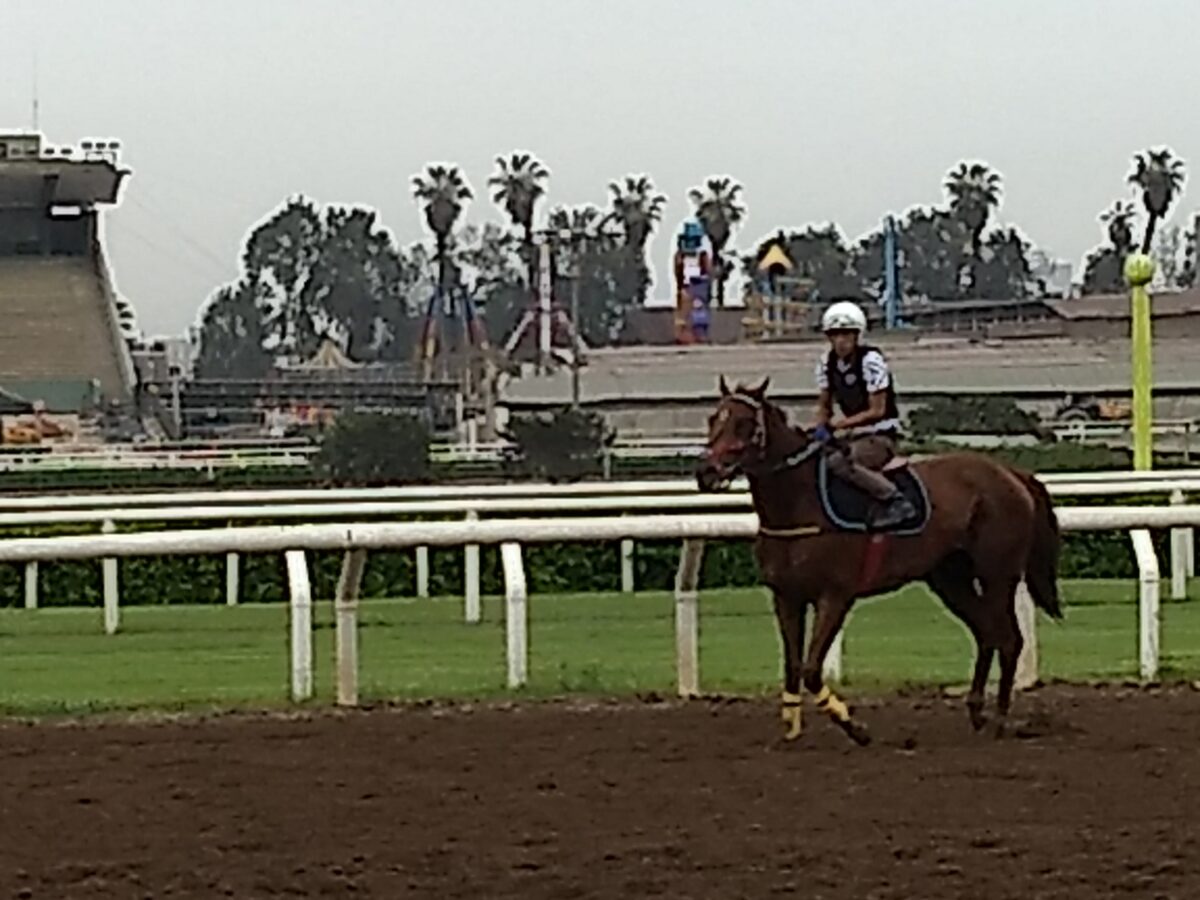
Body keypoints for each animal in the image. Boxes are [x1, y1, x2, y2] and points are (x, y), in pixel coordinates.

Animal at [695, 377, 1062, 744]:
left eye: (744, 423)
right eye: (713, 418)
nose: (706, 471)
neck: (799, 503)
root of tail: (1012, 472)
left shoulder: (835, 596)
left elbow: (811, 669)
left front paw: (855, 726)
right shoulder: (786, 597)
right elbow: (792, 665)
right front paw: (792, 727)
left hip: (997, 574)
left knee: (1009, 639)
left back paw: (999, 719)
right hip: (950, 579)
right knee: (987, 633)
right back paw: (976, 711)